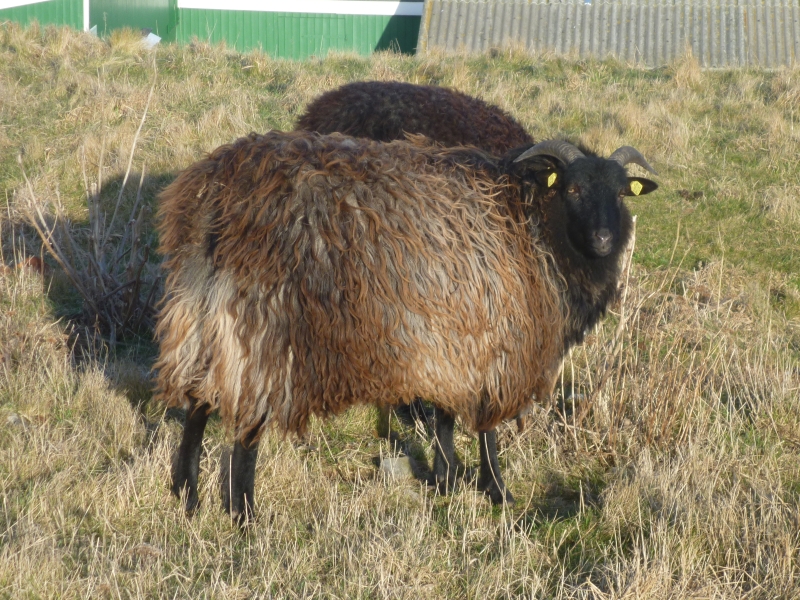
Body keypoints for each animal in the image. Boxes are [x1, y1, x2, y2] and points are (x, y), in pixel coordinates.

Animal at [156, 130, 656, 520]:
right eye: (571, 190)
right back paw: (244, 514)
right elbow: (486, 428)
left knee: (198, 401)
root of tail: (218, 190)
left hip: (201, 310)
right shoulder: (498, 338)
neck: (531, 225)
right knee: (245, 424)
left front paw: (446, 479)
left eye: (620, 193)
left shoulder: (457, 336)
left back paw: (186, 495)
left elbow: (447, 416)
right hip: (263, 322)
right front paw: (497, 491)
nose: (604, 239)